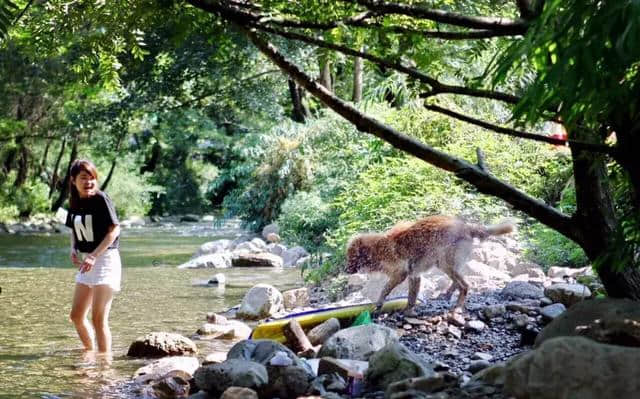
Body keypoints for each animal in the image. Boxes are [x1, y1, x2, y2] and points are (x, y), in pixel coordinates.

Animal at [344, 216, 516, 316]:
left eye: (350, 258)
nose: (345, 271)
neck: (378, 250)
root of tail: (466, 226)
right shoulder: (414, 275)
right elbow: (411, 296)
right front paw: (408, 310)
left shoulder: (400, 274)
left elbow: (385, 290)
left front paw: (379, 304)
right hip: (446, 264)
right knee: (458, 282)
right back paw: (447, 295)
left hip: (446, 264)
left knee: (465, 285)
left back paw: (458, 306)